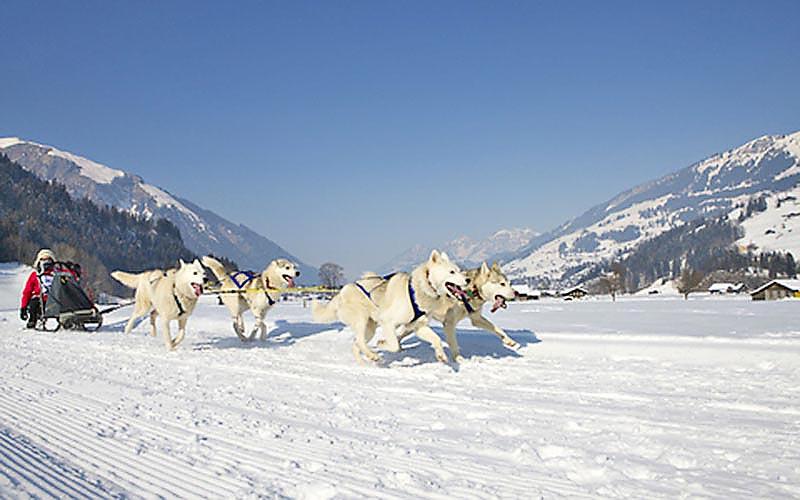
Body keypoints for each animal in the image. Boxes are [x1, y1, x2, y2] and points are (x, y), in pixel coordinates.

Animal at [310, 250, 468, 364]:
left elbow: (436, 339)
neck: (421, 288)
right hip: (361, 320)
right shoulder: (388, 322)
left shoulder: (418, 326)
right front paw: (382, 344)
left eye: (459, 270)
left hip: (370, 328)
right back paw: (372, 355)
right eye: (452, 272)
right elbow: (394, 345)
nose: (467, 279)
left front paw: (440, 354)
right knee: (359, 341)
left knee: (356, 344)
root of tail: (342, 291)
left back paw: (364, 362)